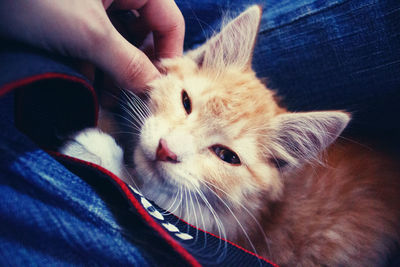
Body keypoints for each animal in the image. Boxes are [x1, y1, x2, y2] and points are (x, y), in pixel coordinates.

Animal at [60, 5, 400, 266]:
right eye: (186, 102)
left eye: (226, 156)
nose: (166, 150)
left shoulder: (212, 230)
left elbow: (143, 194)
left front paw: (99, 151)